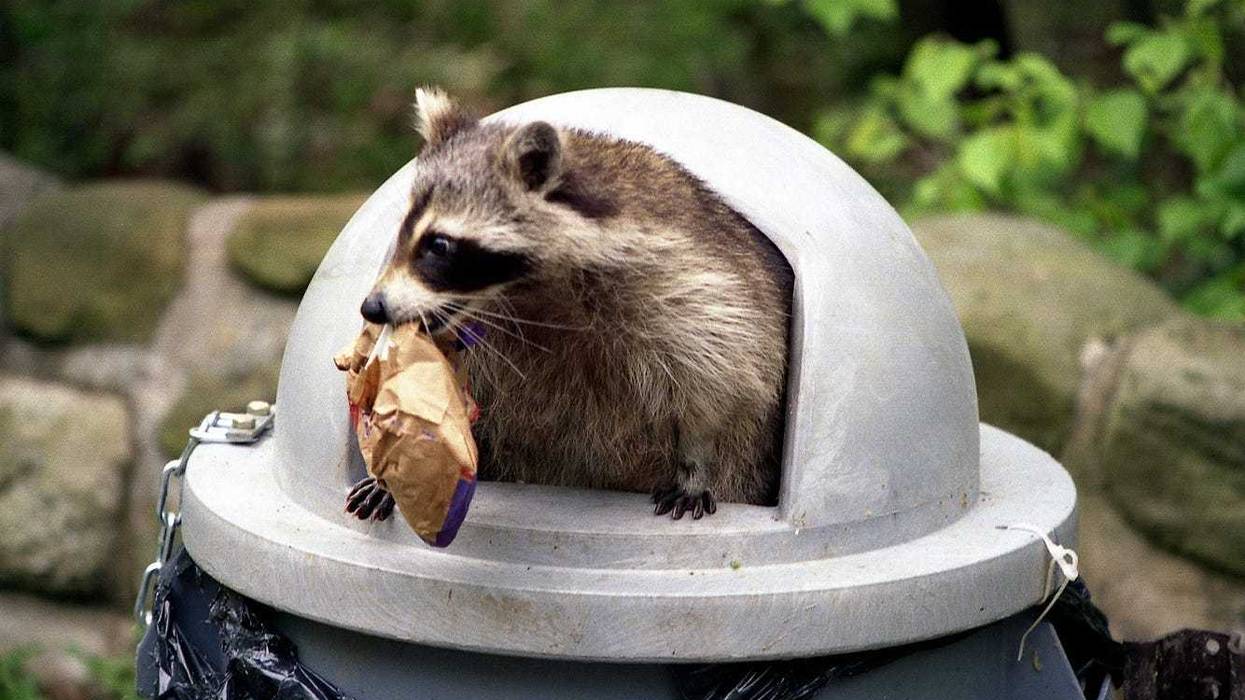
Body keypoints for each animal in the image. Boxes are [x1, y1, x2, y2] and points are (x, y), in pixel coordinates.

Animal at [345, 88, 793, 523]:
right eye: (402, 235)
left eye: (439, 245)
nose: (372, 307)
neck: (524, 294)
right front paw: (397, 472)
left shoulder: (696, 290)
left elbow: (721, 383)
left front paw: (696, 463)